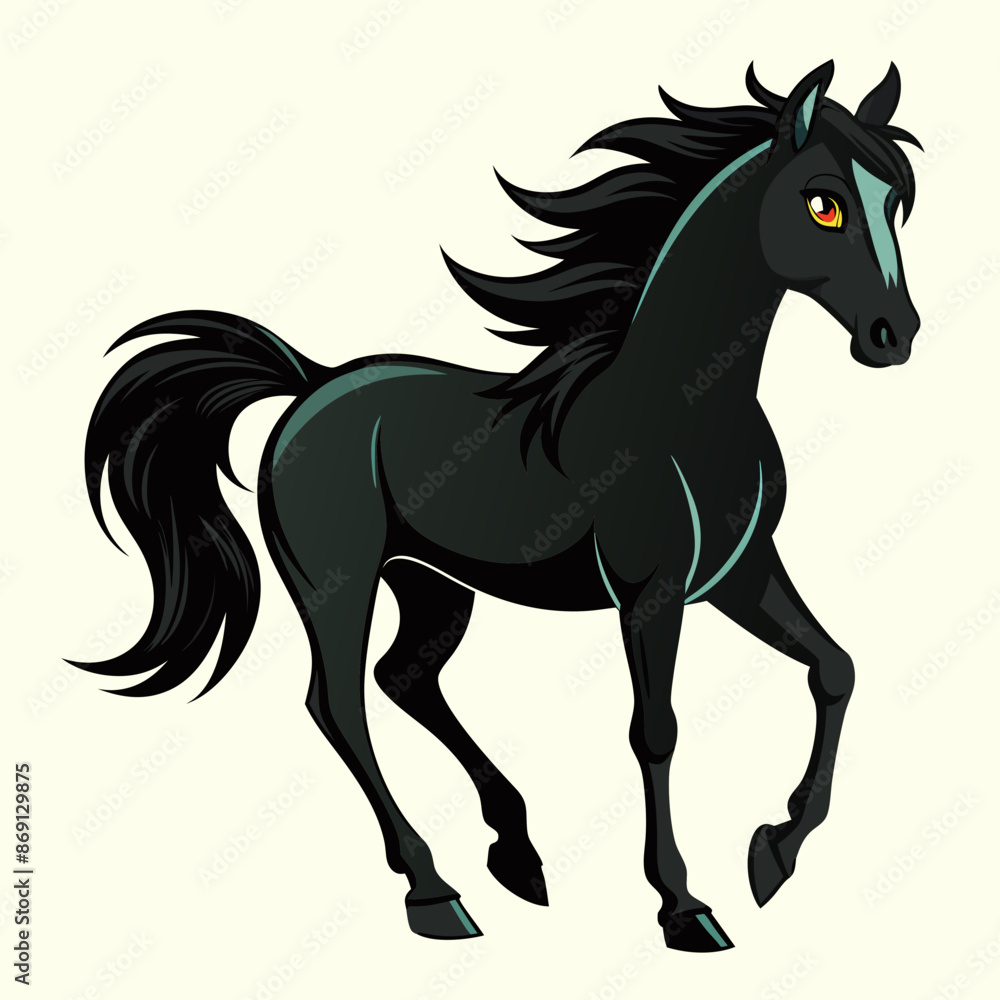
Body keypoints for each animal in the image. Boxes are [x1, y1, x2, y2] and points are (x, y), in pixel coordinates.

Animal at [71, 59, 921, 952]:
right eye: (823, 202)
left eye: (897, 201)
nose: (893, 334)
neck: (684, 408)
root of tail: (310, 385)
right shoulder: (649, 593)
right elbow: (655, 730)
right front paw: (685, 907)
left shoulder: (740, 572)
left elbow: (835, 668)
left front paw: (774, 854)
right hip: (337, 584)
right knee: (339, 704)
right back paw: (435, 894)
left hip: (433, 585)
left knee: (403, 677)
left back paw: (516, 851)